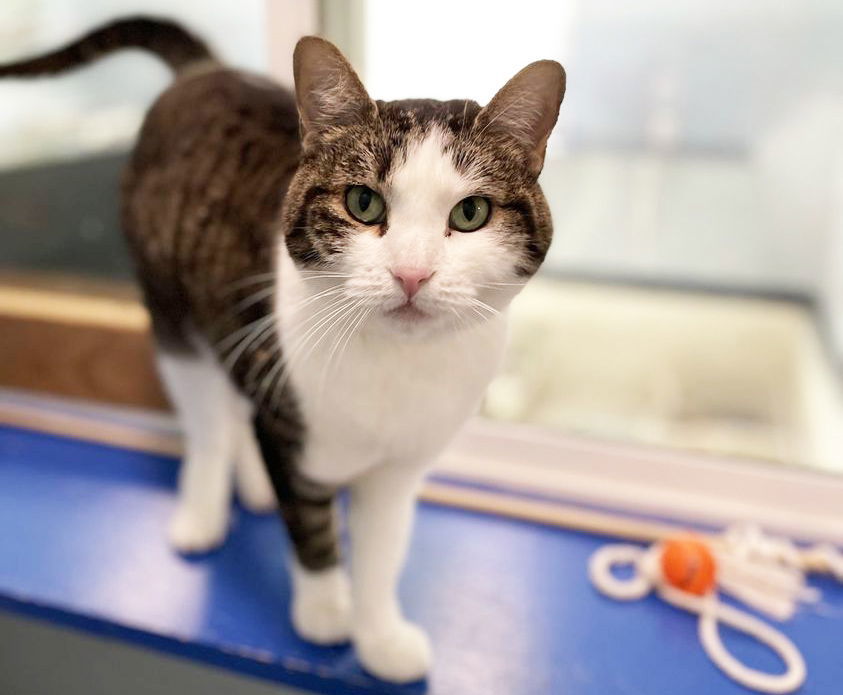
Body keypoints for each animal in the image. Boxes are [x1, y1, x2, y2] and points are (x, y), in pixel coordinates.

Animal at [1, 16, 568, 684]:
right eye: (363, 203)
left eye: (472, 211)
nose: (411, 273)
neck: (395, 368)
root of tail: (207, 70)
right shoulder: (287, 420)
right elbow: (313, 529)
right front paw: (324, 613)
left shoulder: (399, 470)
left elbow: (381, 555)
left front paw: (379, 639)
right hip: (176, 315)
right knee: (208, 419)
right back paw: (205, 508)